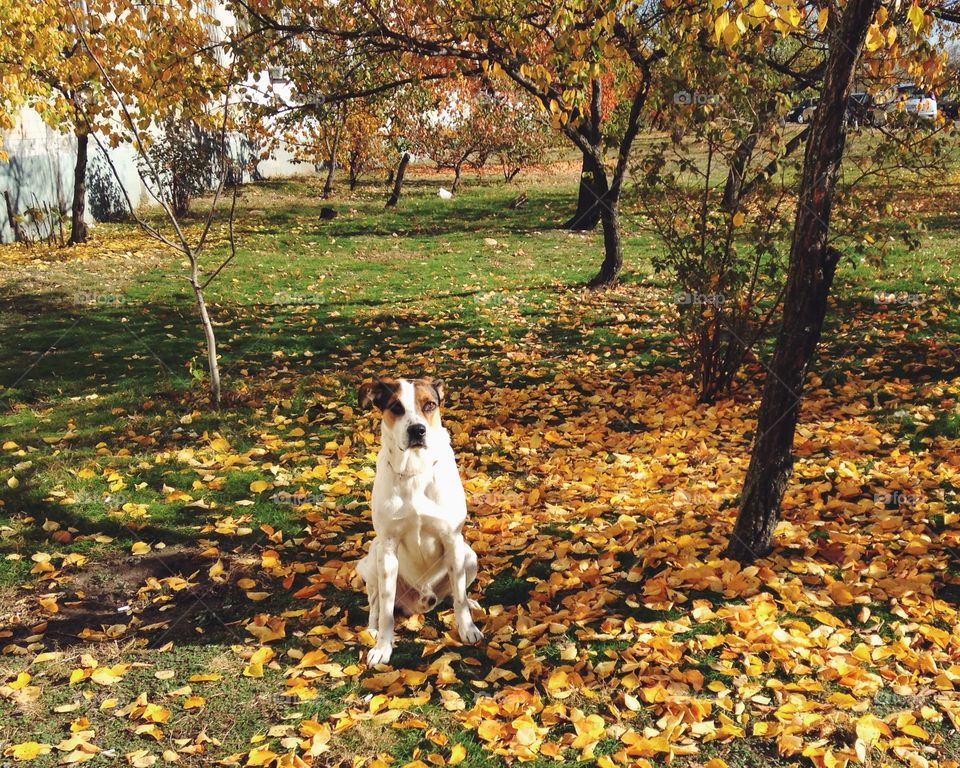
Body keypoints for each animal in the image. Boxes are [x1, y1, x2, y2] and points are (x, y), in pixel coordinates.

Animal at [356, 378, 484, 664]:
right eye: (396, 407)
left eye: (430, 405)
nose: (418, 430)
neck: (414, 470)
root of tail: (421, 602)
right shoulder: (388, 547)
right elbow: (386, 610)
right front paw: (382, 647)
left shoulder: (452, 539)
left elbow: (459, 598)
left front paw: (467, 628)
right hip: (373, 558)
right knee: (376, 603)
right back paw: (371, 629)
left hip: (469, 555)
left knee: (456, 592)